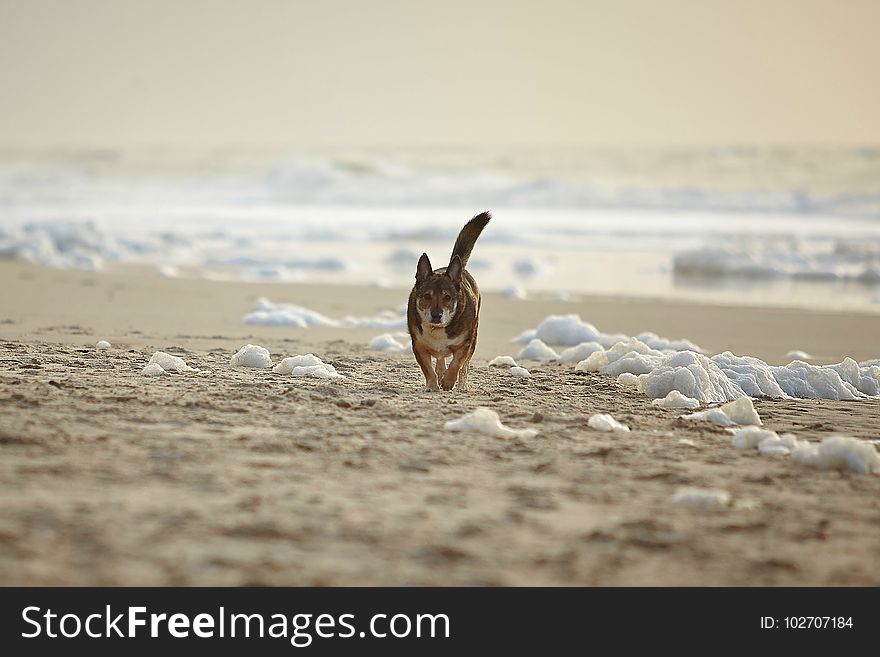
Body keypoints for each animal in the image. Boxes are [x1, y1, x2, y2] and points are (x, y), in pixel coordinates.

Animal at [410, 213, 492, 392]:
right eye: (427, 296)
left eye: (447, 297)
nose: (436, 315)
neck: (437, 329)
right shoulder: (418, 346)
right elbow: (428, 369)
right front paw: (433, 385)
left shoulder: (465, 344)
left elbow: (457, 363)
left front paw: (448, 381)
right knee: (440, 359)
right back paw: (440, 372)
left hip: (474, 337)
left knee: (465, 366)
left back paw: (461, 385)